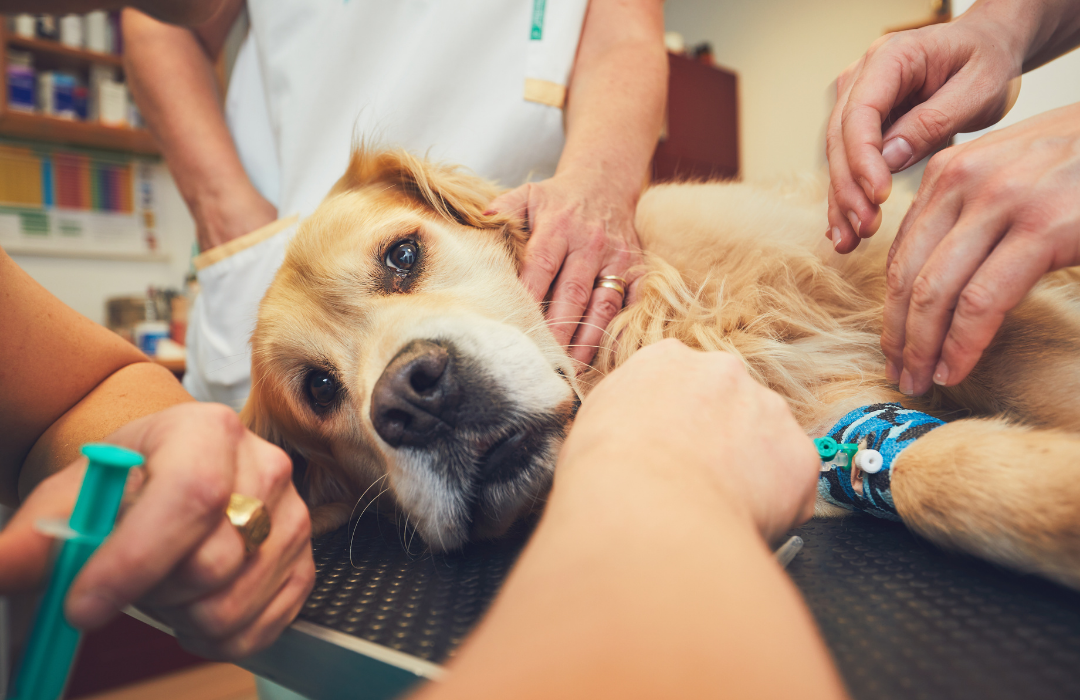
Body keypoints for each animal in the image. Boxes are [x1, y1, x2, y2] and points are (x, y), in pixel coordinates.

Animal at [243, 147, 1080, 591]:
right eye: (319, 390)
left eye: (402, 256)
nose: (415, 400)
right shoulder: (832, 432)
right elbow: (935, 474)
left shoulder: (927, 293)